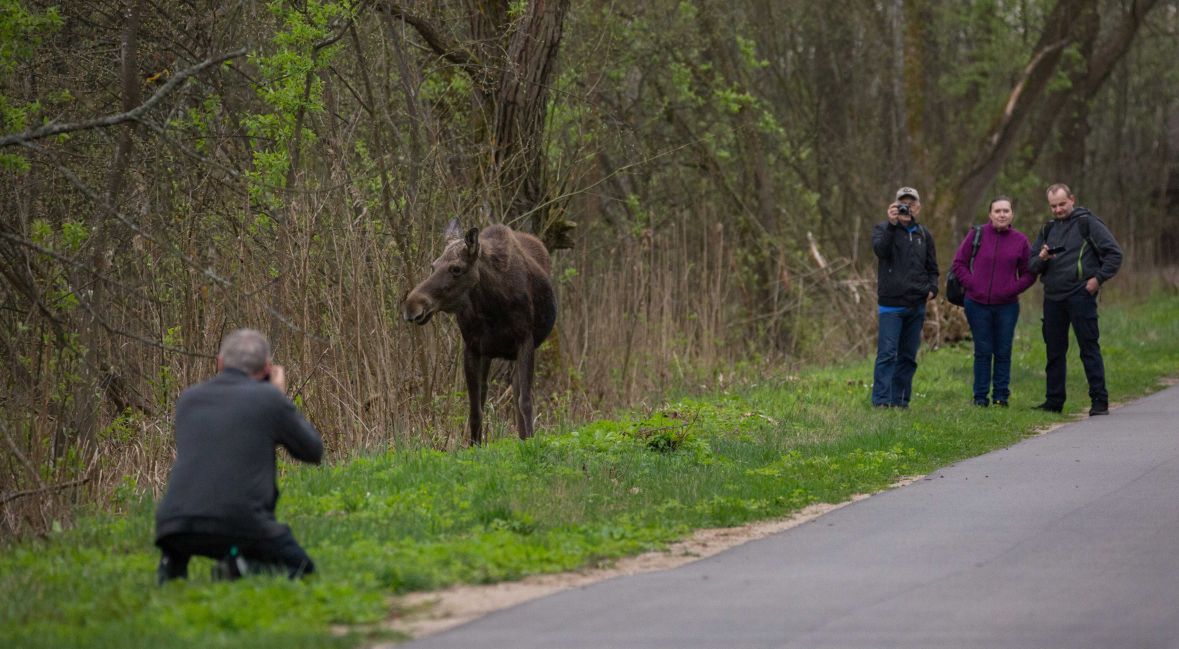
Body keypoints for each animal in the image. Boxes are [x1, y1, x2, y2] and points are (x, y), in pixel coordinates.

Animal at [403, 221, 554, 446]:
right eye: (433, 266)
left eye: (456, 268)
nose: (412, 306)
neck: (493, 307)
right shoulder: (473, 348)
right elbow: (475, 409)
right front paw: (474, 446)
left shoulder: (525, 342)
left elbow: (525, 402)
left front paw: (531, 442)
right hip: (489, 354)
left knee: (517, 392)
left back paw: (523, 438)